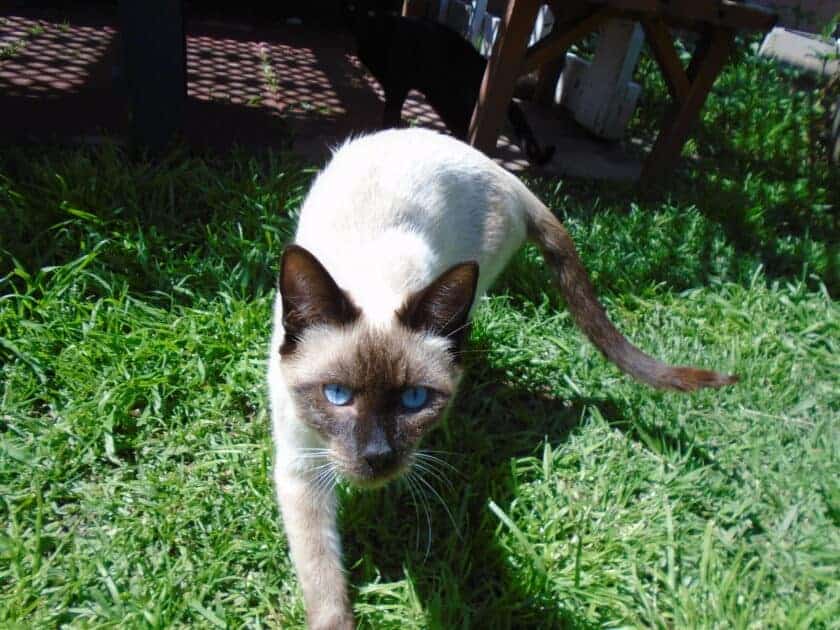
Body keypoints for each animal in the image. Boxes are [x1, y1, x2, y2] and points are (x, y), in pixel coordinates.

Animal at [270, 128, 736, 630]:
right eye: (337, 395)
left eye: (414, 399)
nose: (378, 456)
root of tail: (505, 173)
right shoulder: (301, 468)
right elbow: (324, 584)